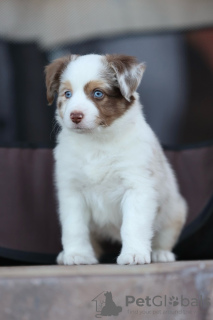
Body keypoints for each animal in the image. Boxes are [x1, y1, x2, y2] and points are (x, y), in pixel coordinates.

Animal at [44, 54, 186, 264]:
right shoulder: (71, 190)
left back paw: (161, 253)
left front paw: (134, 254)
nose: (75, 116)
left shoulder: (137, 187)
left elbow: (133, 225)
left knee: (165, 234)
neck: (96, 142)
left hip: (175, 210)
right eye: (67, 94)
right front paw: (77, 254)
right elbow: (74, 227)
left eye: (98, 93)